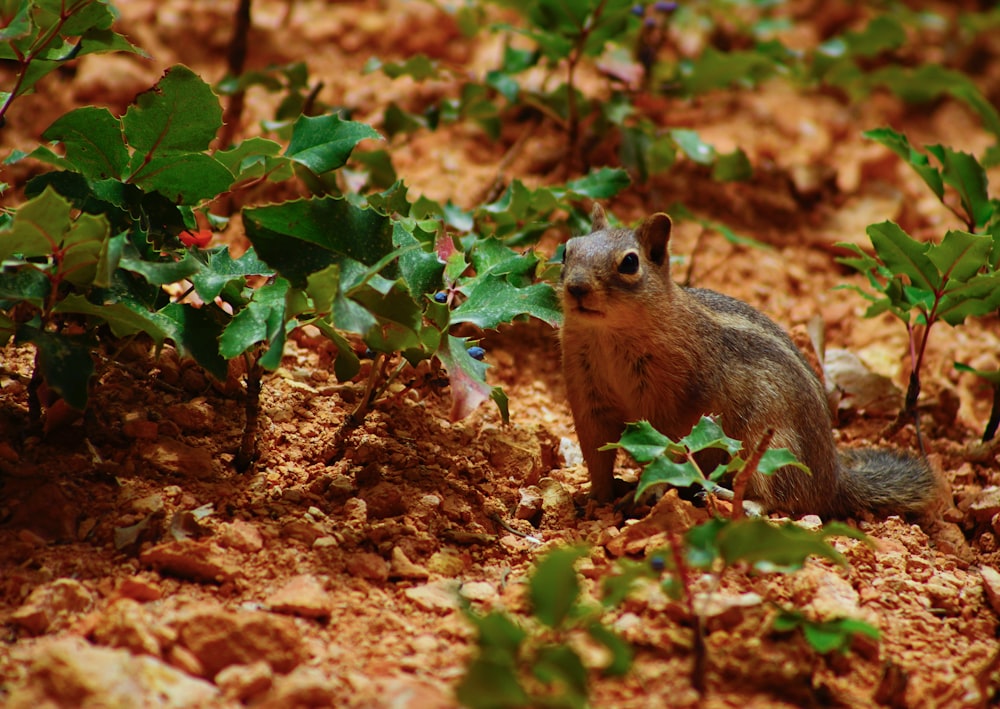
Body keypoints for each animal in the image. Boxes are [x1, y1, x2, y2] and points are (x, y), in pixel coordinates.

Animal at [564, 202, 936, 516]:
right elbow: (596, 452)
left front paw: (648, 490)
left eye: (630, 263)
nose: (576, 287)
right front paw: (594, 499)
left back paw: (726, 495)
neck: (608, 335)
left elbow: (666, 451)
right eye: (567, 248)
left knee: (778, 499)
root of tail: (833, 480)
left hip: (769, 444)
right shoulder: (588, 397)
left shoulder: (667, 403)